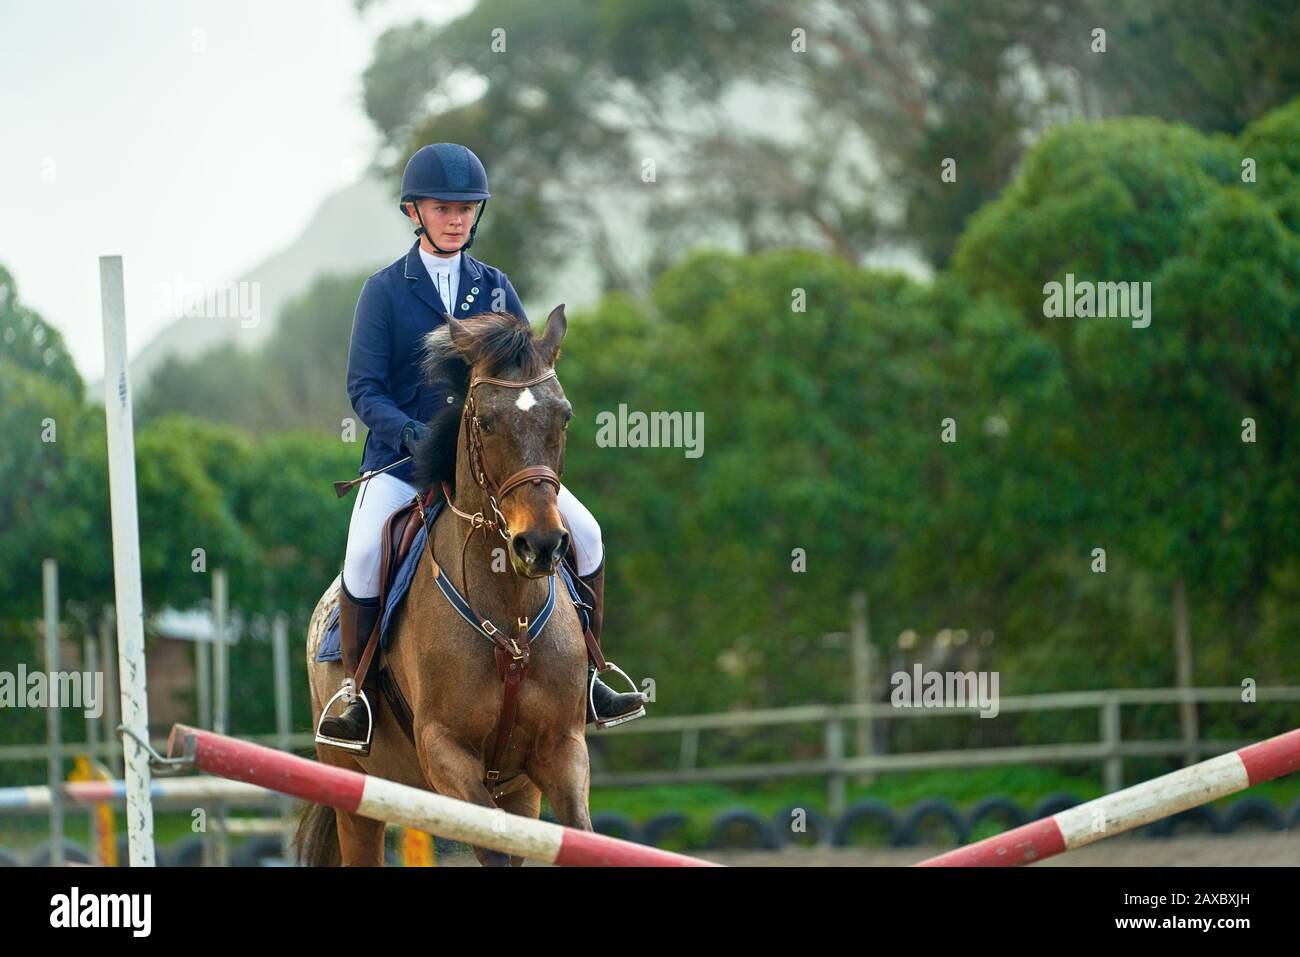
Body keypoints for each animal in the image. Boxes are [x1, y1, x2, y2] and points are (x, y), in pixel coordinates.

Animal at [297, 306, 592, 868]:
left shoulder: (562, 751)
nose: (541, 546)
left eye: (564, 416)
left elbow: (584, 837)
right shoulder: (446, 754)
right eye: (486, 422)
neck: (509, 616)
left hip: (518, 790)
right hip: (358, 798)